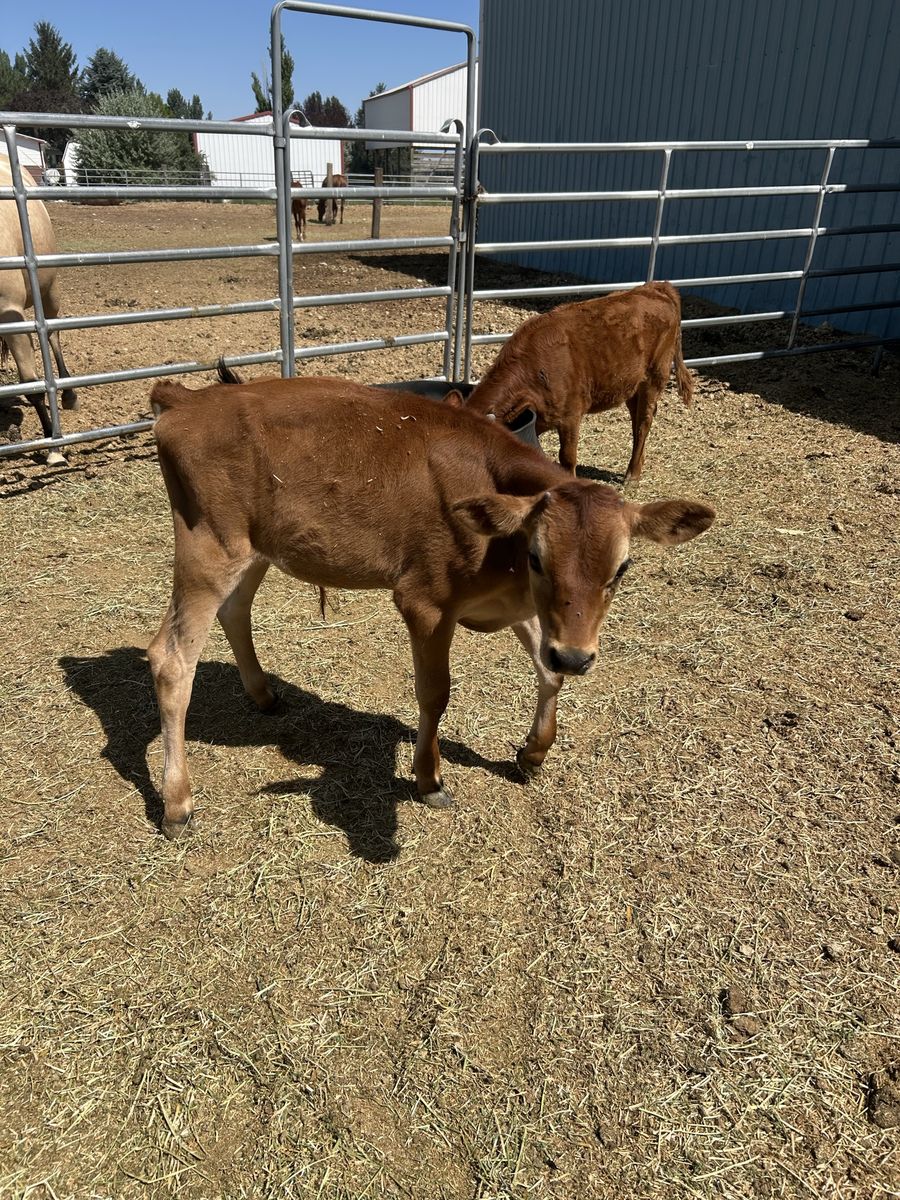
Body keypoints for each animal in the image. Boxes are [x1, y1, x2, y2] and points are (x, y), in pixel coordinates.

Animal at [0, 158, 77, 461]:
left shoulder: (9, 312)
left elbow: (32, 386)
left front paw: (52, 444)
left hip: (49, 289)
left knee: (53, 335)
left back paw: (68, 393)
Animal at [147, 371, 714, 839]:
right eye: (537, 556)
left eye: (622, 568)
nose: (577, 656)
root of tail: (187, 398)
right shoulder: (427, 602)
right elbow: (435, 693)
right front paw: (429, 778)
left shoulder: (524, 609)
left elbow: (545, 671)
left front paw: (533, 751)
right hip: (208, 546)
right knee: (170, 660)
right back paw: (177, 804)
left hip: (254, 549)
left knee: (234, 611)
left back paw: (263, 694)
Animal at [460, 281, 694, 485]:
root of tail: (655, 287)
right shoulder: (540, 418)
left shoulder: (570, 415)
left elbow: (567, 456)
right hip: (631, 386)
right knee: (637, 422)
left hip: (654, 376)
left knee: (644, 421)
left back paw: (632, 475)